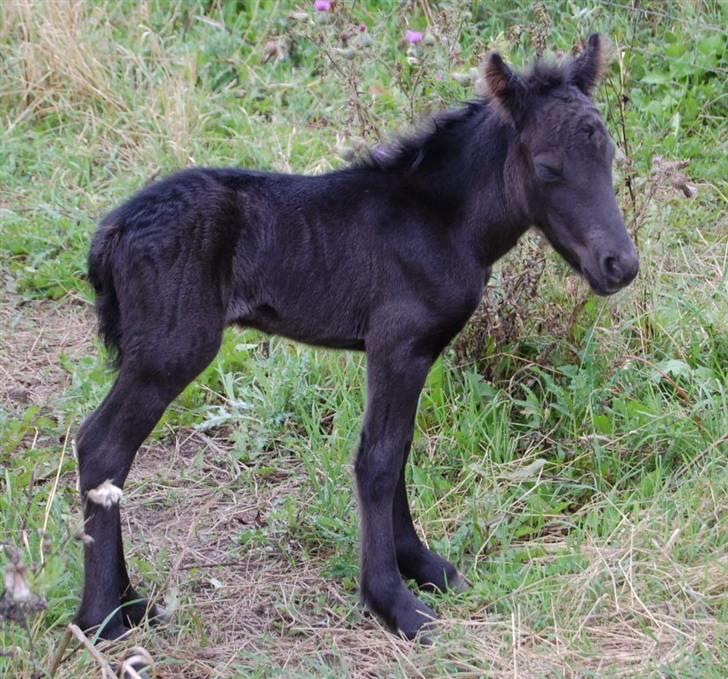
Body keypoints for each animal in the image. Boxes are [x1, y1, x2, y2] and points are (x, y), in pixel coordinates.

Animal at [75, 35, 636, 644]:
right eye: (548, 167)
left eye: (609, 156)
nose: (620, 265)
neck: (443, 222)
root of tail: (113, 231)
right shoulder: (397, 344)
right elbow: (379, 459)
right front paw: (395, 602)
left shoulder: (412, 352)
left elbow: (401, 448)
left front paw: (422, 564)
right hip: (171, 351)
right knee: (102, 445)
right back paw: (102, 616)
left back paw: (130, 601)